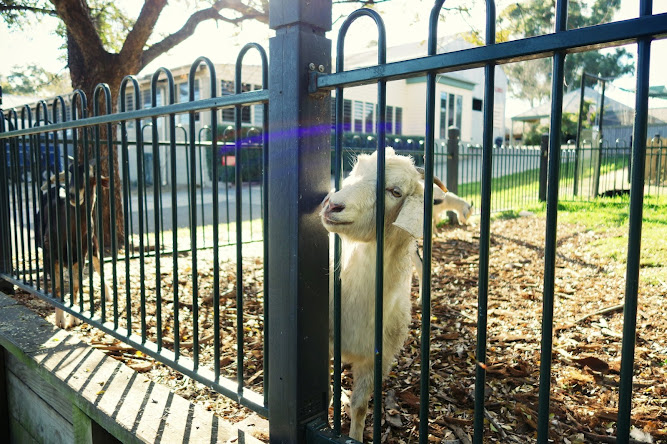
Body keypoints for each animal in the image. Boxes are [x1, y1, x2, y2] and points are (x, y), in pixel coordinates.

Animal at [320, 148, 440, 440]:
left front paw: (354, 436)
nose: (332, 205)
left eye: (395, 192)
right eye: (355, 171)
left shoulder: (379, 359)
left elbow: (360, 406)